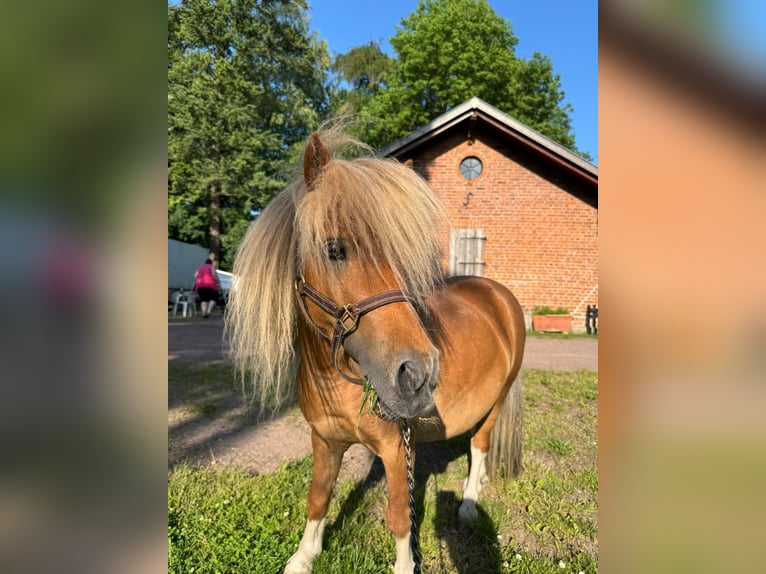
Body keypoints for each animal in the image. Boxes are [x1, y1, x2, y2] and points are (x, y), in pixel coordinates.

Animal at [226, 128, 526, 574]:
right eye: (335, 250)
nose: (419, 373)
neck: (336, 381)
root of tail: (500, 295)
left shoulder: (396, 449)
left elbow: (401, 515)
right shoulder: (324, 441)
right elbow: (318, 498)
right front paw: (303, 557)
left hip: (497, 399)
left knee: (480, 444)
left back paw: (470, 504)